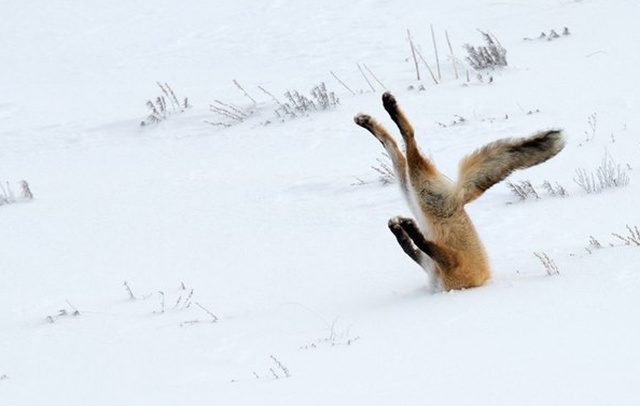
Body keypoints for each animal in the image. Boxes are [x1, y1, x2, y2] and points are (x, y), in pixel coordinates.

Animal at [356, 91, 564, 292]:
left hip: (419, 190)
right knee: (394, 146)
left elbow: (420, 244)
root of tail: (460, 197)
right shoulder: (434, 263)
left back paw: (388, 109)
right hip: (412, 190)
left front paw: (407, 228)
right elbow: (410, 247)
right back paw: (369, 120)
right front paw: (400, 229)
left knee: (408, 139)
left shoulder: (450, 264)